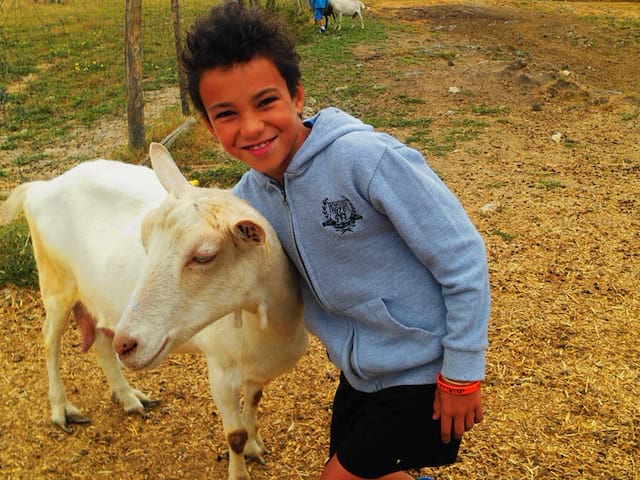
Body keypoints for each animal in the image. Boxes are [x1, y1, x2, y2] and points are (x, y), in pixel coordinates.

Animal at [0, 143, 308, 480]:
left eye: (204, 256)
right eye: (145, 240)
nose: (128, 344)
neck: (267, 328)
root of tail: (40, 188)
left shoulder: (256, 369)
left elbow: (253, 402)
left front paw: (255, 446)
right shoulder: (220, 370)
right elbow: (234, 435)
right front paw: (240, 466)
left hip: (99, 296)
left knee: (102, 342)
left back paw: (129, 397)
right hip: (56, 283)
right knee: (49, 342)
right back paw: (60, 409)